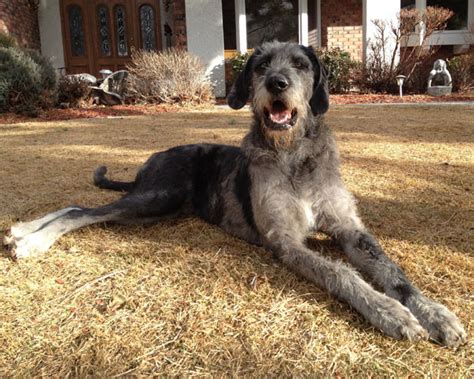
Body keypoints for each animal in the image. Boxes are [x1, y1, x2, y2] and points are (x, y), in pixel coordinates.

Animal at [4, 40, 466, 348]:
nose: (277, 83)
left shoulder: (350, 230)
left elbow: (394, 272)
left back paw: (22, 231)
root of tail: (149, 163)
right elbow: (340, 273)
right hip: (155, 197)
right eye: (261, 65)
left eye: (301, 64)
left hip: (158, 209)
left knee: (80, 205)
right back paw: (31, 240)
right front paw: (389, 312)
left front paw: (435, 314)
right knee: (81, 210)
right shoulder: (286, 241)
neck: (292, 155)